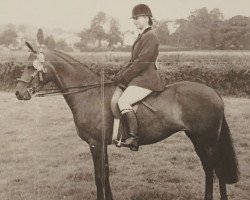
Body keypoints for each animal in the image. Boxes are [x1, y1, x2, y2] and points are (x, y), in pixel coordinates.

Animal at [14, 48, 239, 200]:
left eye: (30, 66)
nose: (18, 93)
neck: (90, 94)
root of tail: (214, 93)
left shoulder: (95, 144)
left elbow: (98, 177)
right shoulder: (102, 145)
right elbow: (105, 174)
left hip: (207, 140)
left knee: (216, 168)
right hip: (197, 139)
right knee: (209, 168)